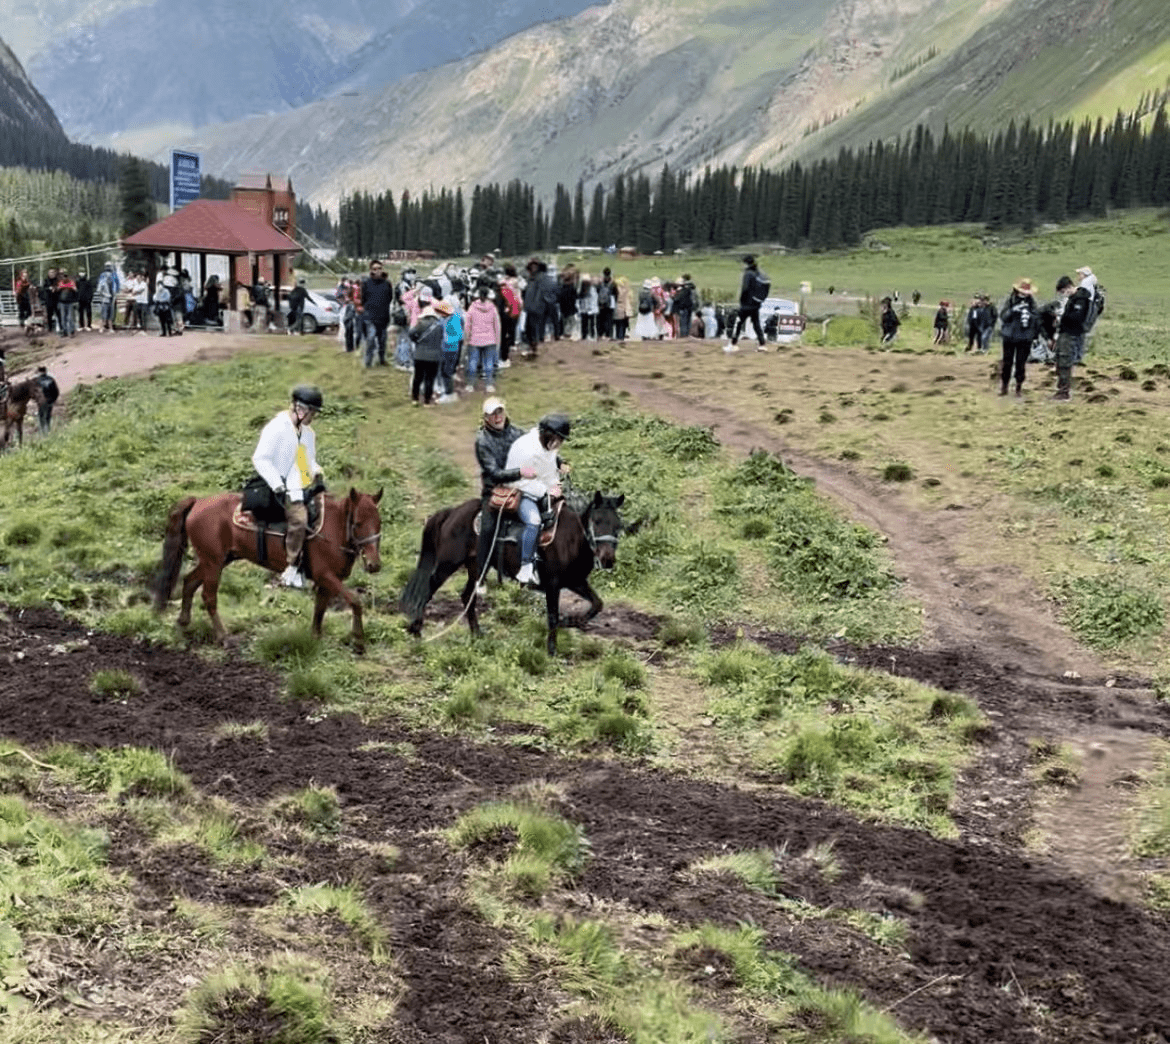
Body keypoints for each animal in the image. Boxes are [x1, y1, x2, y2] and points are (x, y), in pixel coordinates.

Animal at [152, 484, 383, 650]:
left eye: (379, 523)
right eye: (358, 523)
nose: (374, 565)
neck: (333, 528)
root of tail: (198, 502)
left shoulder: (327, 581)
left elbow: (320, 608)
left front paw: (315, 637)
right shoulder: (325, 575)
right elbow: (355, 600)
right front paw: (359, 641)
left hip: (216, 560)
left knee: (189, 582)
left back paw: (183, 623)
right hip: (213, 562)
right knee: (208, 597)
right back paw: (223, 637)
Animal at [400, 493, 627, 655]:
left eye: (618, 525)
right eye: (597, 521)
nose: (607, 559)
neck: (571, 539)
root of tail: (453, 512)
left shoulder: (575, 581)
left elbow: (597, 604)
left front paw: (573, 621)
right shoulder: (553, 584)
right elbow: (553, 616)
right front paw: (552, 650)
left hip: (477, 567)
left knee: (467, 596)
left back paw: (477, 634)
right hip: (448, 563)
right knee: (429, 588)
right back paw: (416, 629)